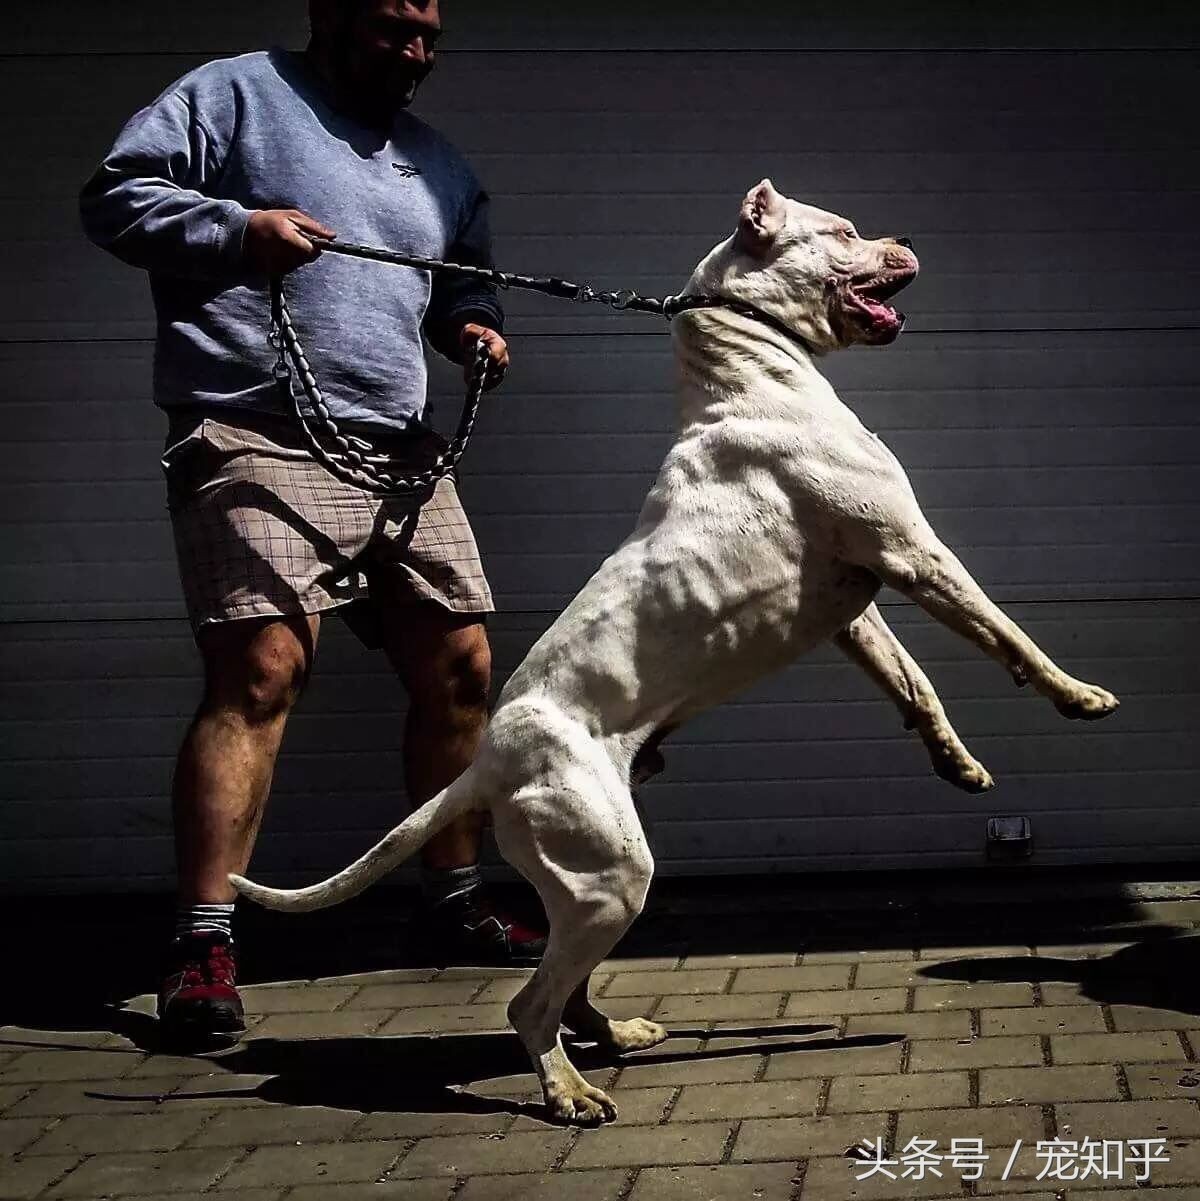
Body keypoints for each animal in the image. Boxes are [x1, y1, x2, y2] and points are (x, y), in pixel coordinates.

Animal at [232, 180, 1119, 1125]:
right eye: (844, 232)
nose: (907, 236)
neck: (754, 374)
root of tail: (487, 764)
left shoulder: (852, 609)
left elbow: (915, 687)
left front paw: (959, 765)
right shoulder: (913, 553)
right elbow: (1004, 631)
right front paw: (1077, 694)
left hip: (589, 884)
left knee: (567, 983)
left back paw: (615, 1035)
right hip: (613, 873)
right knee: (530, 1002)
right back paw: (570, 1092)